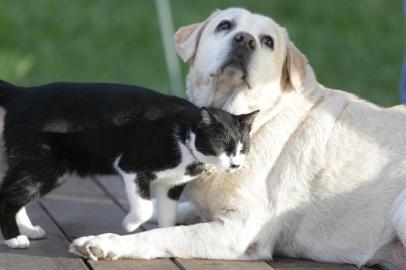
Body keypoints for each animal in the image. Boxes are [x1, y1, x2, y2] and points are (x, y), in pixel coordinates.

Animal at [0, 80, 258, 249]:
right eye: (223, 145)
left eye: (243, 147)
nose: (236, 164)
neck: (184, 134)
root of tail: (22, 94)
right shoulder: (132, 166)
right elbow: (145, 208)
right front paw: (129, 224)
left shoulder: (172, 185)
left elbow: (167, 216)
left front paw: (162, 234)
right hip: (43, 165)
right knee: (8, 196)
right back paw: (14, 238)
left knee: (16, 192)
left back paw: (27, 229)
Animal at [71, 7, 406, 268]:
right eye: (225, 25)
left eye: (268, 41)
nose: (245, 39)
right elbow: (175, 211)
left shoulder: (239, 231)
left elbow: (164, 234)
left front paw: (108, 243)